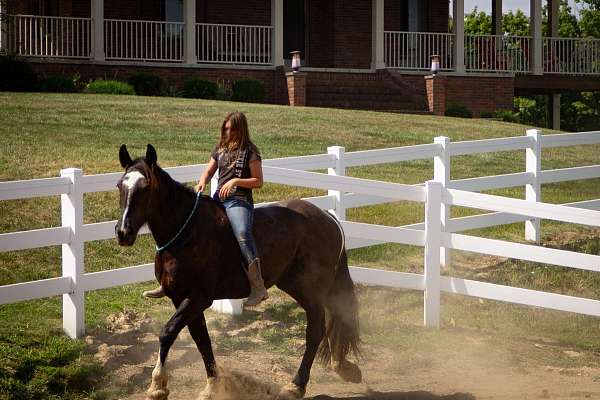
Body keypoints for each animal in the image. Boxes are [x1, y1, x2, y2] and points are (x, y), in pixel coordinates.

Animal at [116, 145, 360, 400]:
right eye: (120, 185)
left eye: (145, 187)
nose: (123, 232)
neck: (187, 233)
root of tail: (328, 218)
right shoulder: (181, 298)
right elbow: (201, 339)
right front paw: (212, 386)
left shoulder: (198, 297)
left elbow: (168, 332)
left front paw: (158, 386)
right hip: (297, 285)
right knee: (335, 318)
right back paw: (342, 366)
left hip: (310, 289)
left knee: (316, 329)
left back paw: (297, 385)